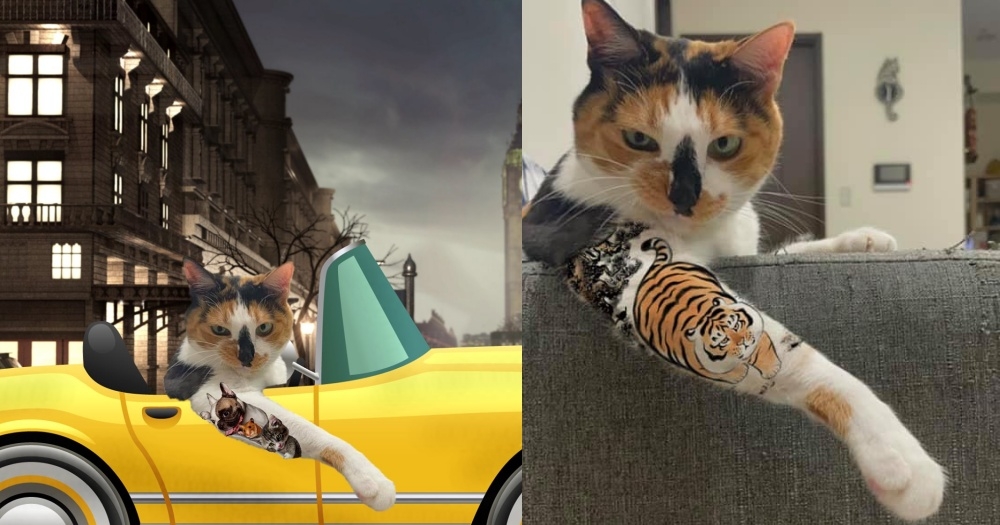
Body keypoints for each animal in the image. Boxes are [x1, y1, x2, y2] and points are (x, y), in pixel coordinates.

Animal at [633, 238, 781, 385]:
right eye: (723, 341)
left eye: (736, 325)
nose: (742, 342)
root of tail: (654, 271)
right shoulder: (702, 367)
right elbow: (721, 373)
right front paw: (740, 374)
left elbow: (764, 349)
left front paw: (772, 370)